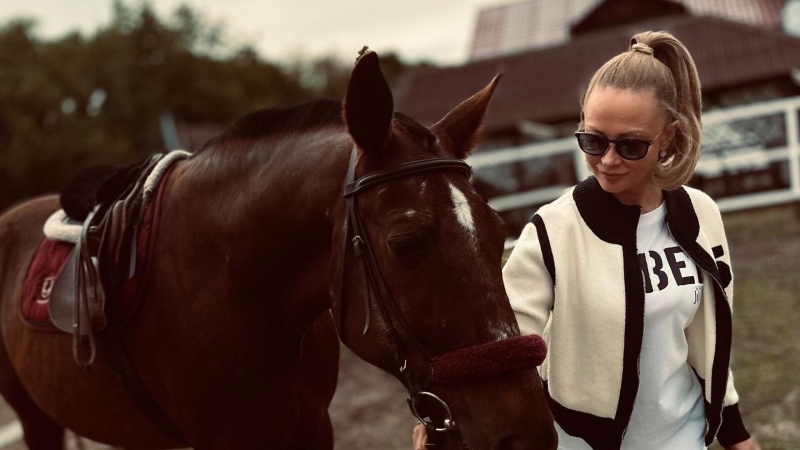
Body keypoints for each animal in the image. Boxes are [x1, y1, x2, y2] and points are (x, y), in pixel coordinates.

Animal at [0, 51, 556, 448]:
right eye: (406, 244)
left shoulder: (312, 426)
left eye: (497, 230)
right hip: (33, 416)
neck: (233, 289)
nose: (529, 433)